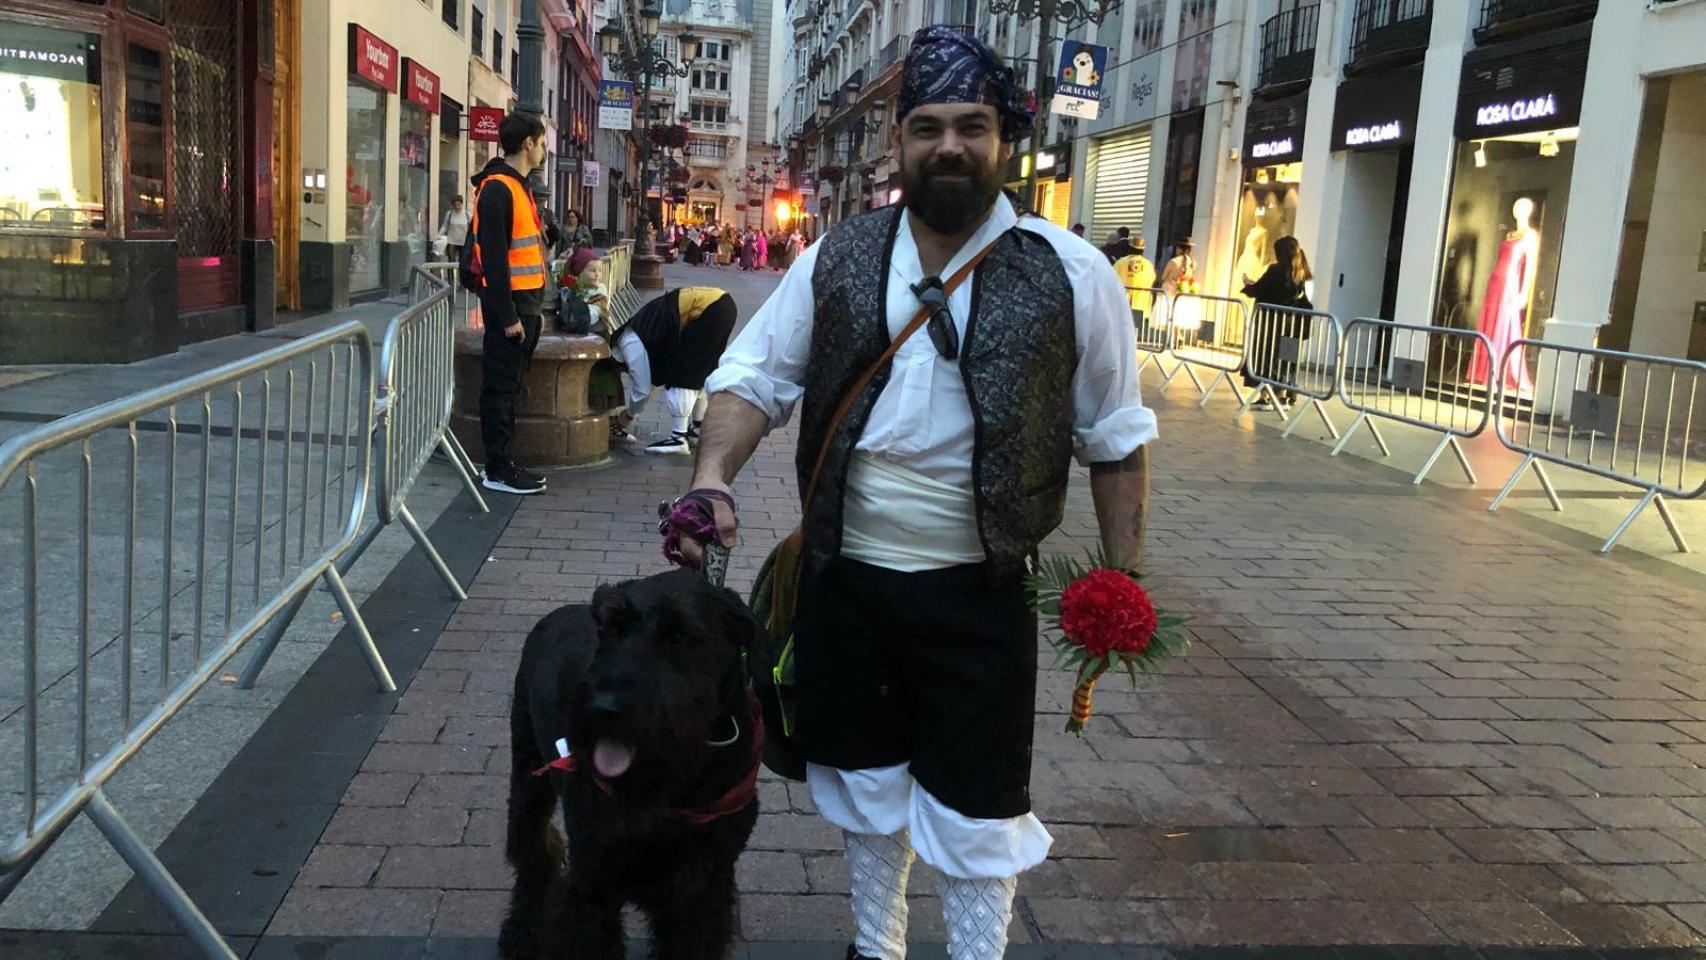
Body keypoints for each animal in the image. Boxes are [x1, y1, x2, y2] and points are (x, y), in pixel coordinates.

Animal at [498, 569, 757, 960]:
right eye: (612, 628)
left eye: (677, 634)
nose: (603, 708)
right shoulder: (593, 884)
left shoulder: (702, 889)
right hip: (529, 780)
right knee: (532, 853)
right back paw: (521, 932)